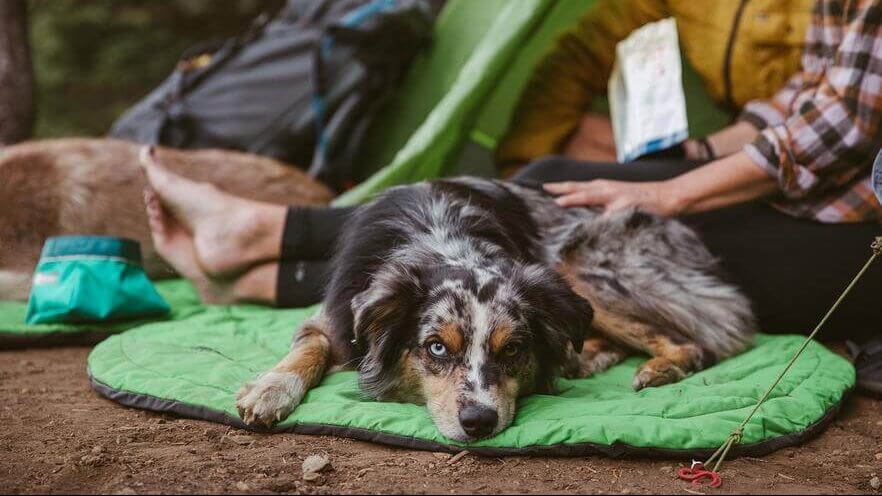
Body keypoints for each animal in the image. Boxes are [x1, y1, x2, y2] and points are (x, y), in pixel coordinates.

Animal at [235, 178, 756, 442]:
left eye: (513, 351)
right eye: (436, 348)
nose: (479, 423)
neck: (441, 238)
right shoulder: (337, 316)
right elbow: (308, 347)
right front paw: (270, 389)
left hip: (575, 269)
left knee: (700, 340)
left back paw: (656, 368)